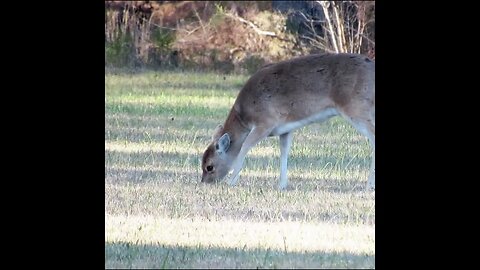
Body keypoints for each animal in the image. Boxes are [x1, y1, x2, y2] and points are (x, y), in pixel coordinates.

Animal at [199, 53, 376, 190]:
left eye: (209, 166)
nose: (204, 182)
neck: (244, 117)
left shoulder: (265, 122)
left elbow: (245, 146)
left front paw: (231, 182)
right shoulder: (284, 129)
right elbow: (284, 151)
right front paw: (282, 184)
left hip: (356, 106)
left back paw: (368, 186)